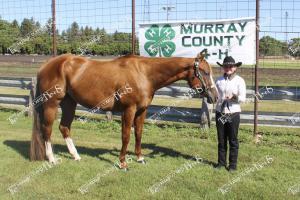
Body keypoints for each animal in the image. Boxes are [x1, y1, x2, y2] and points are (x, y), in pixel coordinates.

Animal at [29, 52, 218, 169]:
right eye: (204, 72)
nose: (215, 97)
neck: (144, 73)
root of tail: (47, 65)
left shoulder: (142, 110)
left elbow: (139, 133)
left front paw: (140, 158)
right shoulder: (129, 109)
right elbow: (126, 135)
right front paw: (123, 163)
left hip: (69, 104)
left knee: (64, 127)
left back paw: (75, 156)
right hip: (51, 104)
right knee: (47, 130)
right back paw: (52, 159)